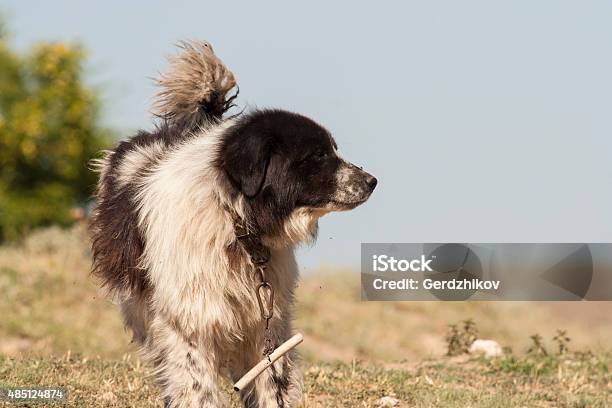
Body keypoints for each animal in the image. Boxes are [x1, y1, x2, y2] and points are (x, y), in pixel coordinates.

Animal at [89, 39, 378, 406]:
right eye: (318, 155)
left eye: (332, 150)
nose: (372, 181)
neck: (234, 220)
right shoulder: (188, 320)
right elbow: (196, 386)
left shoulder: (267, 321)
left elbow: (272, 380)